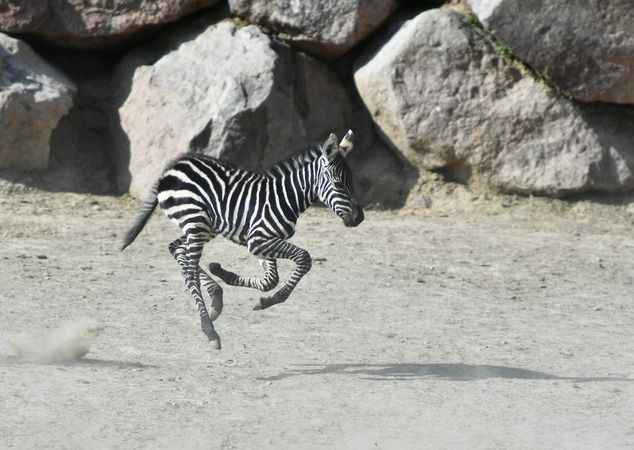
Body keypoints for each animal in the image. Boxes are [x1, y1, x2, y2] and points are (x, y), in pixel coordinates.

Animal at [121, 130, 362, 348]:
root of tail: (174, 165)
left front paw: (229, 277)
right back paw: (209, 329)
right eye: (339, 184)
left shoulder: (260, 243)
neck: (285, 197)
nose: (359, 218)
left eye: (352, 182)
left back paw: (216, 296)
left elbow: (269, 280)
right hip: (195, 222)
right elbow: (304, 258)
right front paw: (273, 300)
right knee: (189, 274)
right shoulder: (258, 240)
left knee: (175, 248)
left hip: (204, 227)